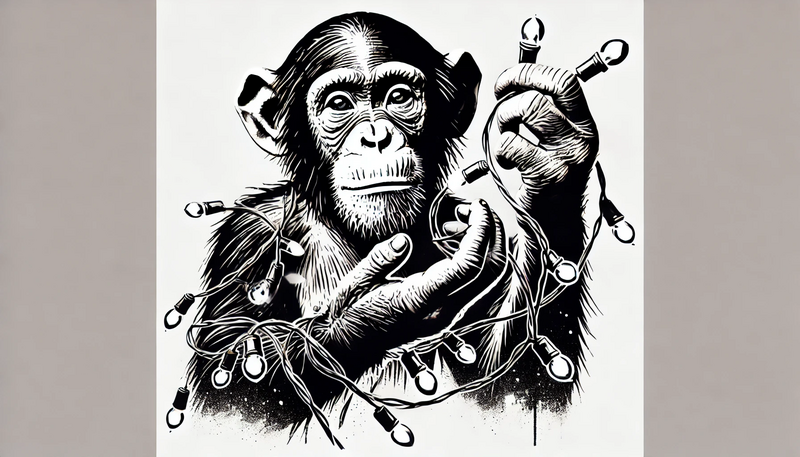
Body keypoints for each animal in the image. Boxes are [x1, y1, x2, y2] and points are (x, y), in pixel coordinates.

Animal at [184, 12, 598, 433]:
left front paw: (551, 150)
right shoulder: (249, 241)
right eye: (339, 104)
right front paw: (380, 312)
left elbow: (509, 382)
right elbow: (235, 381)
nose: (376, 138)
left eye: (398, 97)